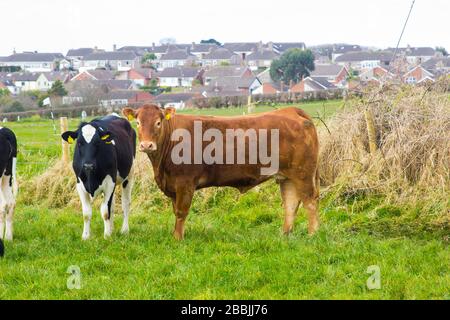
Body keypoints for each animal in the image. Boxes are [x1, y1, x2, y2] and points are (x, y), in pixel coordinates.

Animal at [123, 105, 320, 240]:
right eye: (138, 122)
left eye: (158, 122)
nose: (146, 145)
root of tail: (290, 111)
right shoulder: (172, 185)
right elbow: (176, 211)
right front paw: (176, 234)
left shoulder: (185, 183)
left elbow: (181, 212)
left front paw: (177, 238)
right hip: (287, 177)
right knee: (291, 204)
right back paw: (285, 234)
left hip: (303, 174)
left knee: (310, 202)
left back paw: (313, 234)